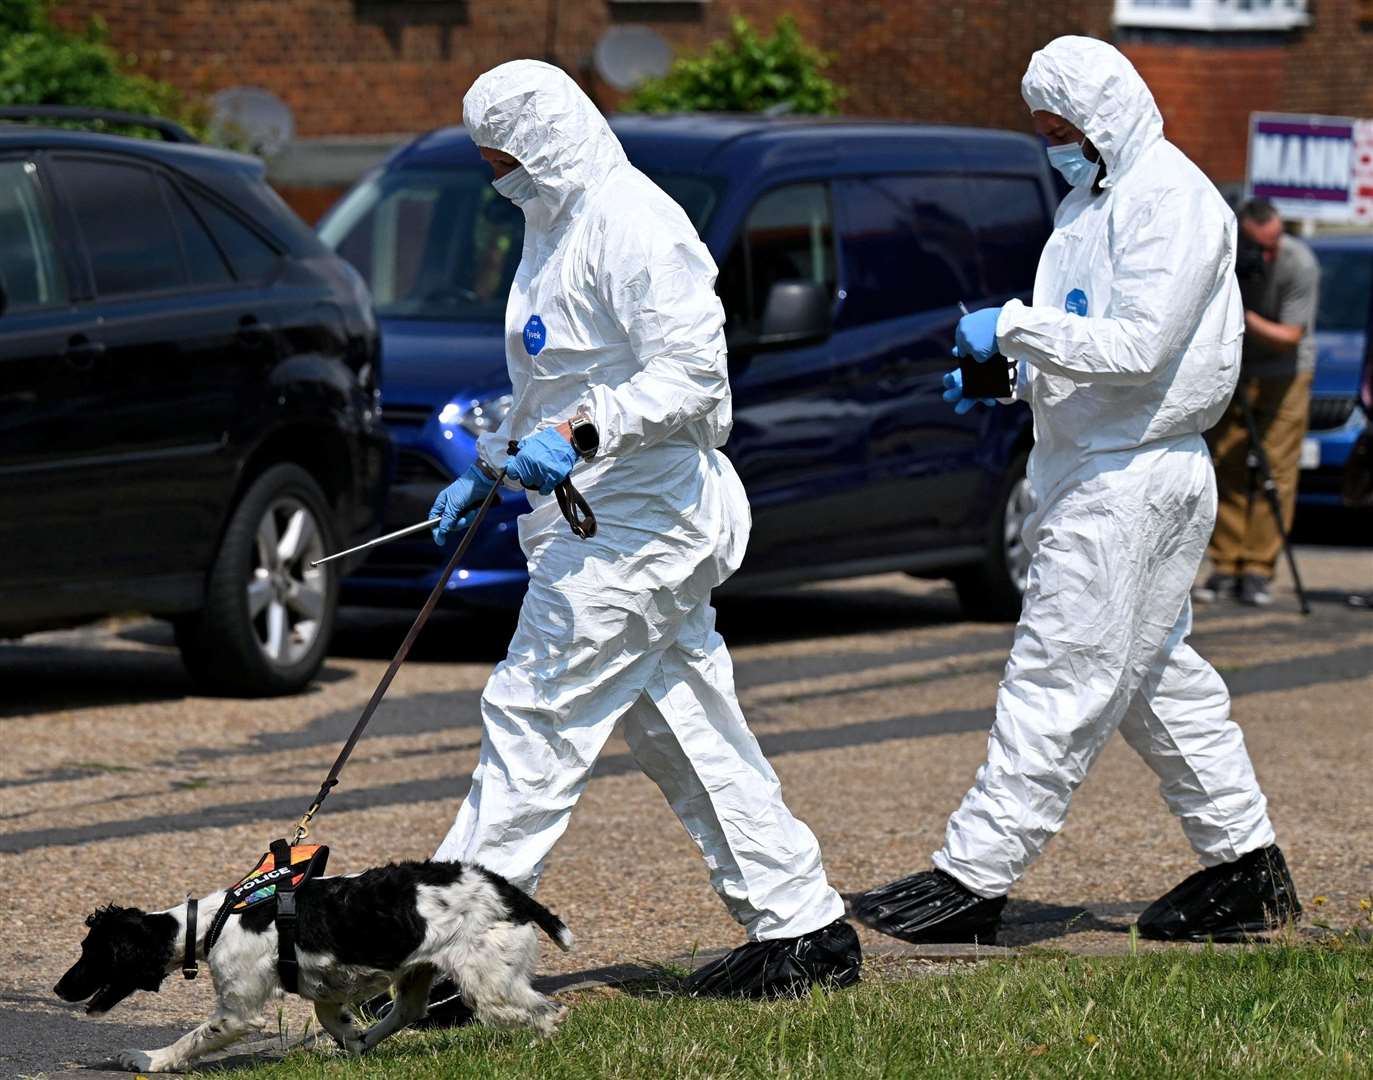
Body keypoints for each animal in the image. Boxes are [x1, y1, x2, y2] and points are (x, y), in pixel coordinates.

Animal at [56, 861, 571, 1070]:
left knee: (550, 1013)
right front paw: (352, 1043)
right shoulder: (326, 985)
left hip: (488, 982)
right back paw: (366, 1042)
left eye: (92, 954)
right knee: (407, 1011)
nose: (60, 989)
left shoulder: (238, 1012)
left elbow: (191, 1039)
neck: (211, 923)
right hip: (420, 971)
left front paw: (149, 1059)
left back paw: (538, 1050)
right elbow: (333, 1018)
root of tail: (508, 892)